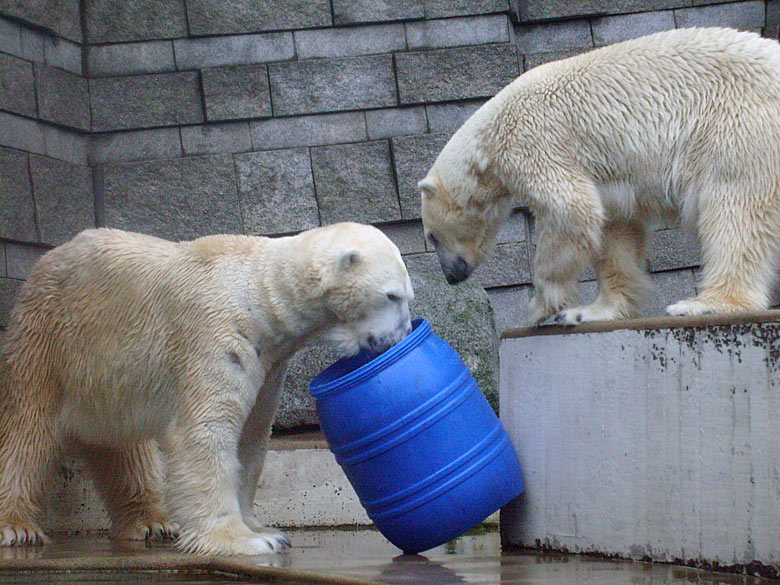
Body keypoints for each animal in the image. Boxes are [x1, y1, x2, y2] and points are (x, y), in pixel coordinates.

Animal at [0, 222, 414, 552]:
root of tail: (46, 260)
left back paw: (152, 521)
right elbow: (207, 432)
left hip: (111, 377)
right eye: (392, 295)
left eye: (406, 296)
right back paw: (17, 527)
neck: (258, 294)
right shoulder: (217, 333)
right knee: (27, 429)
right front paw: (243, 539)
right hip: (51, 342)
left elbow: (251, 438)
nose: (403, 335)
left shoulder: (269, 361)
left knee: (124, 447)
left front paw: (264, 528)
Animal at [420, 28, 780, 324]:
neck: (488, 141)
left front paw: (542, 306)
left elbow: (571, 211)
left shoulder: (535, 143)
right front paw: (590, 311)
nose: (450, 276)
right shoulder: (608, 177)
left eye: (432, 236)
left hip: (738, 126)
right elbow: (614, 230)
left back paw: (706, 303)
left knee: (733, 210)